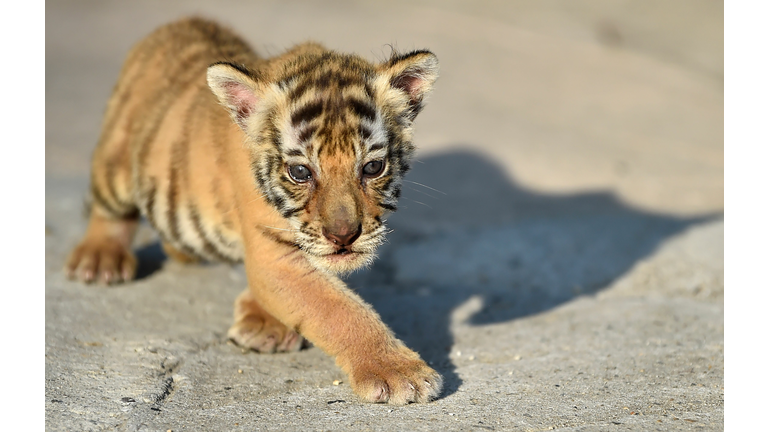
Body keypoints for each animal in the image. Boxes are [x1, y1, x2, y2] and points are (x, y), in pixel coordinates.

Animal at [64, 17, 441, 405]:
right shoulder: (273, 253)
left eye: (372, 168)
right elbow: (338, 309)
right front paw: (398, 371)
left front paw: (264, 321)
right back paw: (100, 259)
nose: (343, 237)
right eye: (300, 172)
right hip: (117, 167)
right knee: (109, 210)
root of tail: (183, 20)